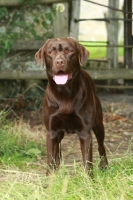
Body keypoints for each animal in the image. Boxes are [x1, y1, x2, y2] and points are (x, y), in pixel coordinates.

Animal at [34, 37, 107, 175]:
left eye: (70, 51)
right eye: (51, 52)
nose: (59, 62)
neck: (65, 92)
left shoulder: (85, 132)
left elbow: (87, 161)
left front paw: (89, 179)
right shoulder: (51, 131)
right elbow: (50, 158)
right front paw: (49, 178)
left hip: (98, 124)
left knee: (101, 145)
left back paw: (104, 166)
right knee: (57, 151)